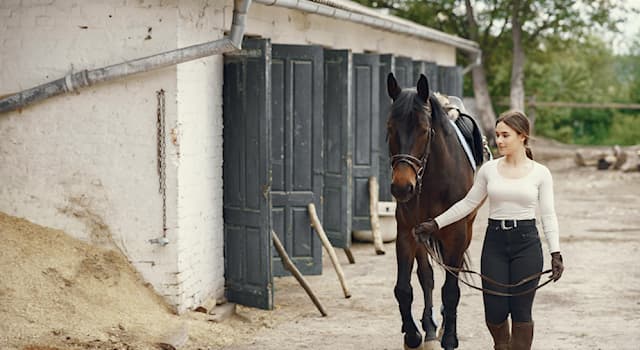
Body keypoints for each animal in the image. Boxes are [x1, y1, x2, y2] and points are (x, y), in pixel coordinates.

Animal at [384, 72, 476, 348]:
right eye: (389, 128)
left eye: (425, 131)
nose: (402, 187)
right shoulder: (406, 233)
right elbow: (404, 288)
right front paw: (413, 334)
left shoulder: (457, 235)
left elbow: (452, 290)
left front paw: (450, 337)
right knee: (426, 276)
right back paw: (429, 327)